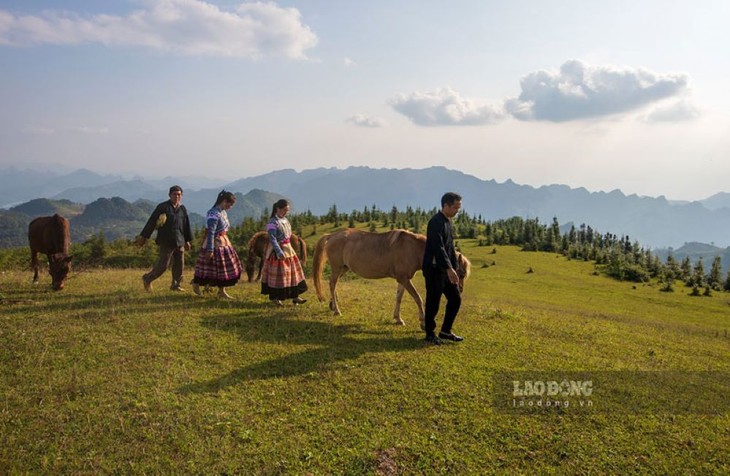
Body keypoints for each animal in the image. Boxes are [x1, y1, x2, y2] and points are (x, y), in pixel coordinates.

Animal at [310, 230, 470, 328]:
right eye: (461, 273)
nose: (460, 289)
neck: (413, 249)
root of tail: (332, 235)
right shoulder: (405, 279)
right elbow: (418, 298)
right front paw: (423, 322)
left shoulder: (402, 279)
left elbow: (398, 298)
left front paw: (398, 319)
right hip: (337, 268)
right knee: (332, 284)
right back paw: (337, 310)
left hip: (343, 268)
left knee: (333, 284)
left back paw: (333, 305)